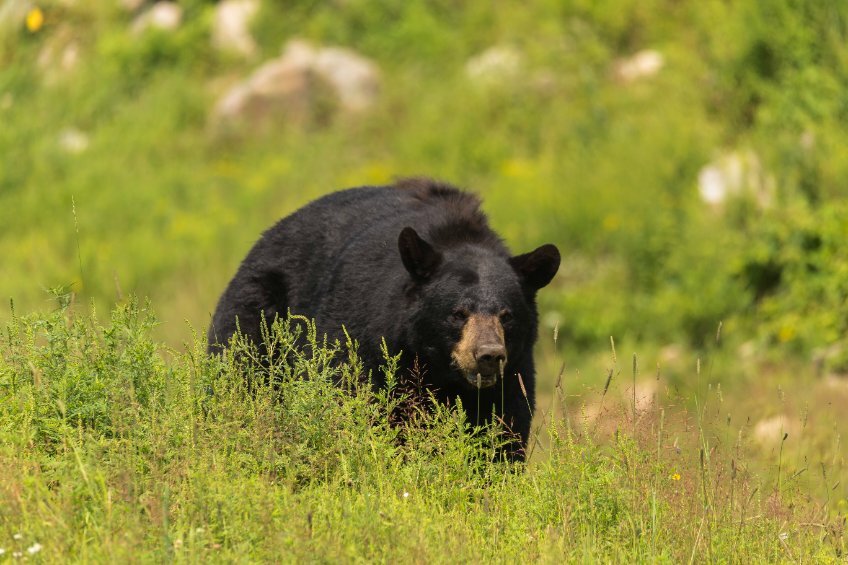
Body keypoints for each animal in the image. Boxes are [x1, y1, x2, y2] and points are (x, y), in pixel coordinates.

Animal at [209, 178, 560, 460]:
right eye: (458, 313)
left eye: (507, 315)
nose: (488, 355)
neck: (441, 374)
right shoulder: (363, 340)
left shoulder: (513, 375)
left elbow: (502, 434)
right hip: (257, 315)